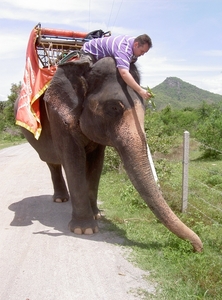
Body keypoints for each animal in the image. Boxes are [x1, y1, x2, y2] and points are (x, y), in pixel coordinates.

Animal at [14, 55, 203, 251]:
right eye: (113, 108)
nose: (198, 248)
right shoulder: (60, 118)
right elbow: (74, 161)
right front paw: (85, 230)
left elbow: (96, 164)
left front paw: (97, 215)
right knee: (52, 162)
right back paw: (61, 199)